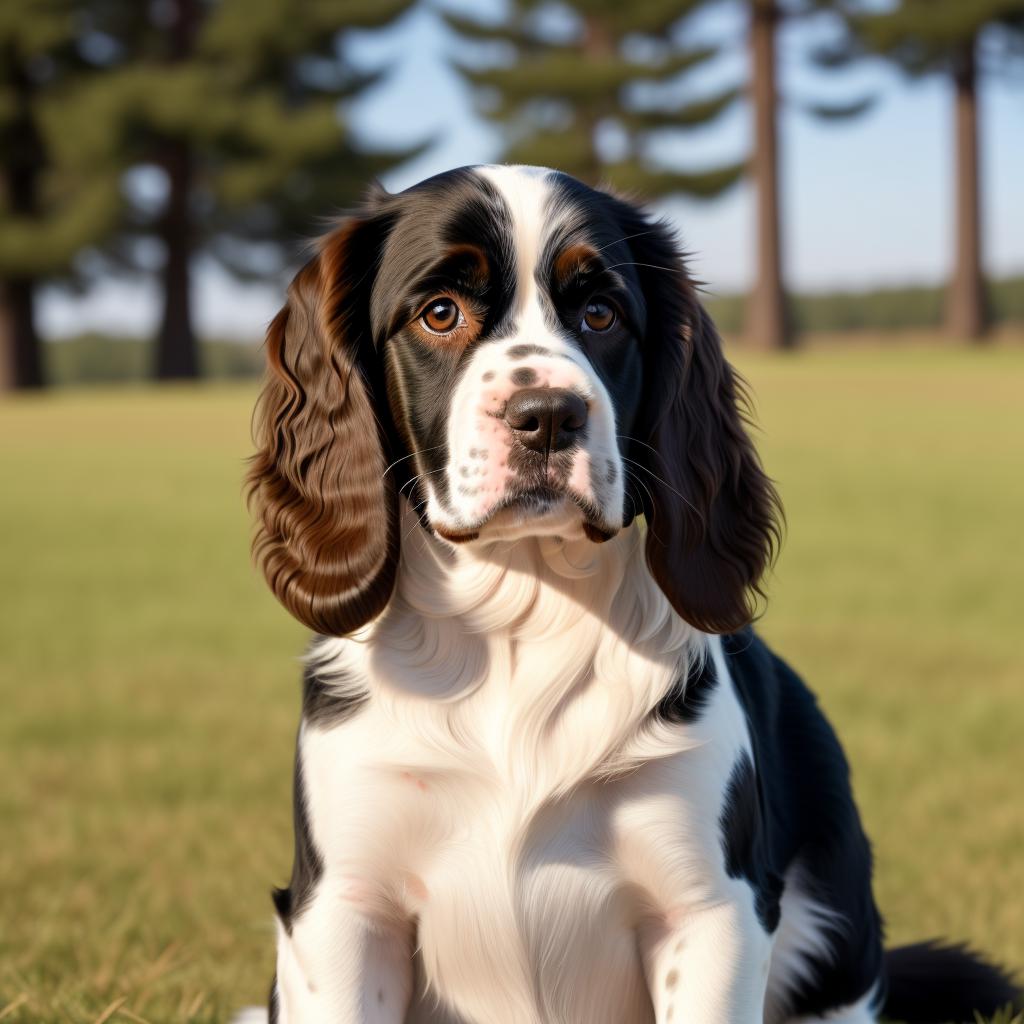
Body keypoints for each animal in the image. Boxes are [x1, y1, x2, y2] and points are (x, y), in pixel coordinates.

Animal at [239, 167, 1015, 1024]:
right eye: (439, 311)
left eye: (600, 313)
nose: (548, 415)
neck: (522, 615)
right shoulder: (343, 909)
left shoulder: (708, 910)